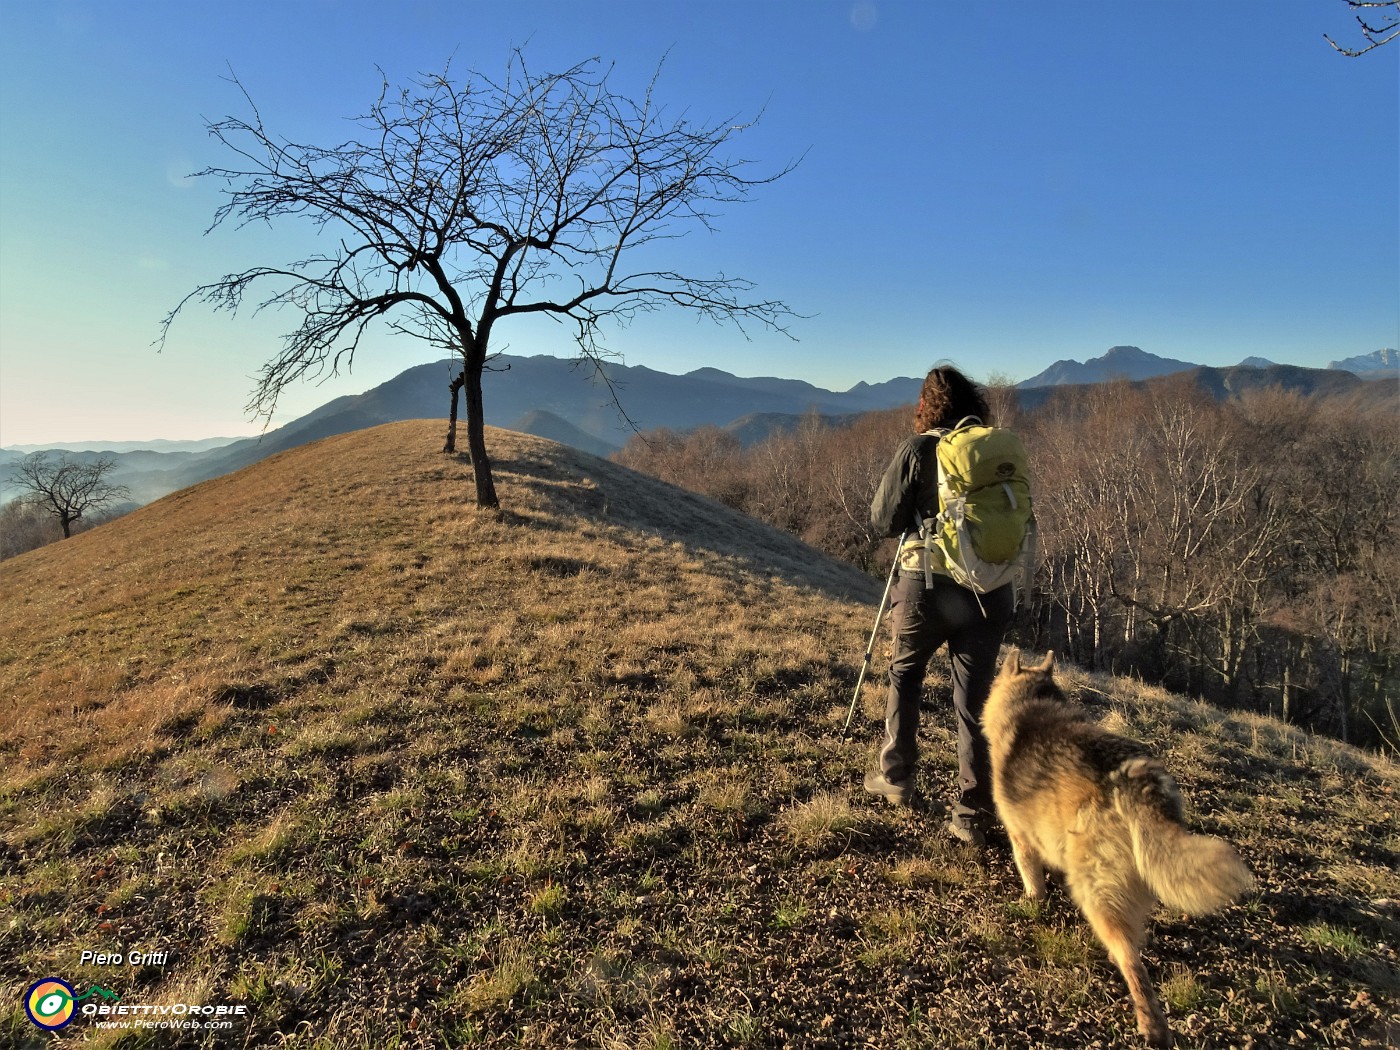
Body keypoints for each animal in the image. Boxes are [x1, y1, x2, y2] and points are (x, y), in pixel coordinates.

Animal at [980, 655, 1254, 1047]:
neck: (1028, 702)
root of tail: (1137, 783)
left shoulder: (1021, 837)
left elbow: (1032, 876)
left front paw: (1033, 900)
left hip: (1097, 891)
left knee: (1130, 958)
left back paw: (1150, 1023)